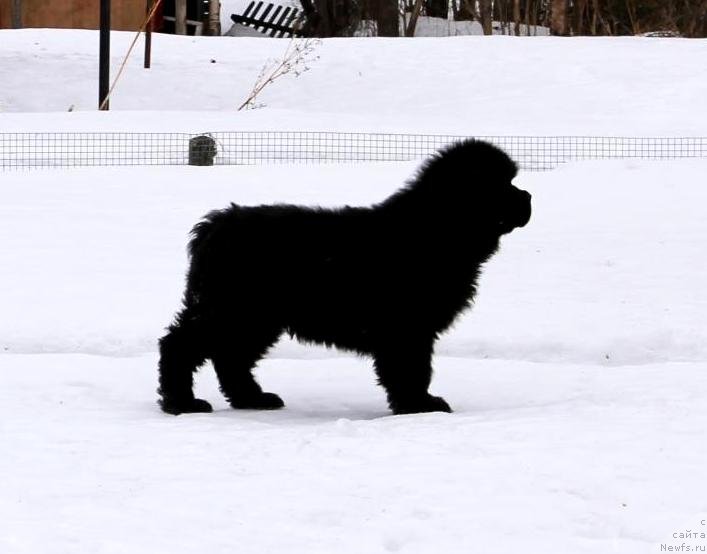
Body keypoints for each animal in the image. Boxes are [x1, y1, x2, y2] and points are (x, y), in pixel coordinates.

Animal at [156, 140, 532, 412]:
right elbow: (412, 367)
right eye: (503, 185)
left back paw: (253, 399)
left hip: (255, 316)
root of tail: (214, 225)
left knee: (231, 356)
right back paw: (183, 403)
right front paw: (420, 405)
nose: (528, 196)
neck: (434, 229)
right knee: (180, 345)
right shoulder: (406, 326)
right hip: (232, 307)